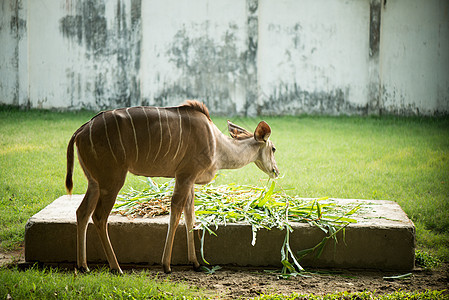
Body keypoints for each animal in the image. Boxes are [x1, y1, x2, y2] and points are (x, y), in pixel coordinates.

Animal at [65, 101, 278, 274]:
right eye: (274, 148)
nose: (275, 171)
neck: (218, 146)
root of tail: (80, 131)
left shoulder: (189, 181)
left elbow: (190, 216)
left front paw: (196, 263)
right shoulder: (185, 176)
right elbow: (176, 215)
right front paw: (166, 265)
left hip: (95, 182)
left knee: (82, 212)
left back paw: (84, 267)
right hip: (112, 180)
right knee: (99, 216)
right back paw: (116, 268)